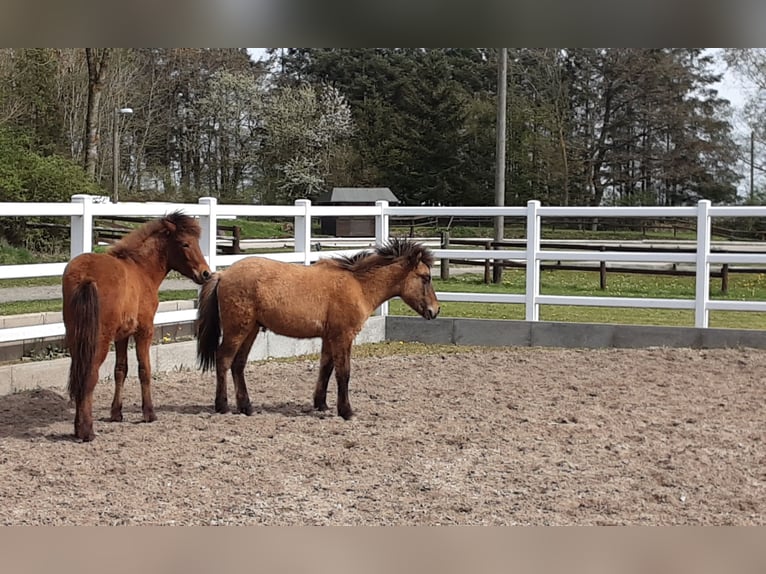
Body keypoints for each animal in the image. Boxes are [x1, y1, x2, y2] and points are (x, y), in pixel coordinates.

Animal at [62, 214, 212, 444]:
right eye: (185, 243)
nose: (206, 273)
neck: (141, 270)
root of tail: (84, 277)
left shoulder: (122, 335)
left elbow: (120, 370)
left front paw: (116, 413)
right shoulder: (144, 330)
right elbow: (144, 370)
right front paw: (149, 413)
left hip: (75, 337)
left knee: (79, 375)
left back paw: (79, 428)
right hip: (98, 341)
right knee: (89, 377)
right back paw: (87, 431)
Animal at [195, 238, 440, 424]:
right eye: (425, 278)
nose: (435, 310)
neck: (358, 285)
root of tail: (222, 275)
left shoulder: (329, 338)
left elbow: (326, 368)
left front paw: (321, 403)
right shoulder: (343, 336)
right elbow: (343, 373)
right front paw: (346, 411)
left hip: (251, 329)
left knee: (238, 364)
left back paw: (246, 406)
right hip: (238, 329)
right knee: (223, 360)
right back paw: (223, 406)